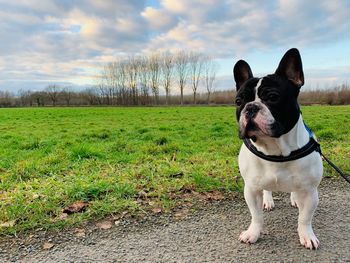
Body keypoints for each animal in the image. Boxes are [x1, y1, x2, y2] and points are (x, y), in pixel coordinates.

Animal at [232, 48, 322, 251]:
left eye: (273, 97)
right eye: (239, 101)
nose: (250, 107)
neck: (276, 149)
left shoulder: (311, 192)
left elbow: (305, 218)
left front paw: (307, 235)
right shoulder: (251, 189)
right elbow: (256, 216)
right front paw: (253, 233)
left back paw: (295, 199)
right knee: (267, 189)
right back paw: (268, 200)